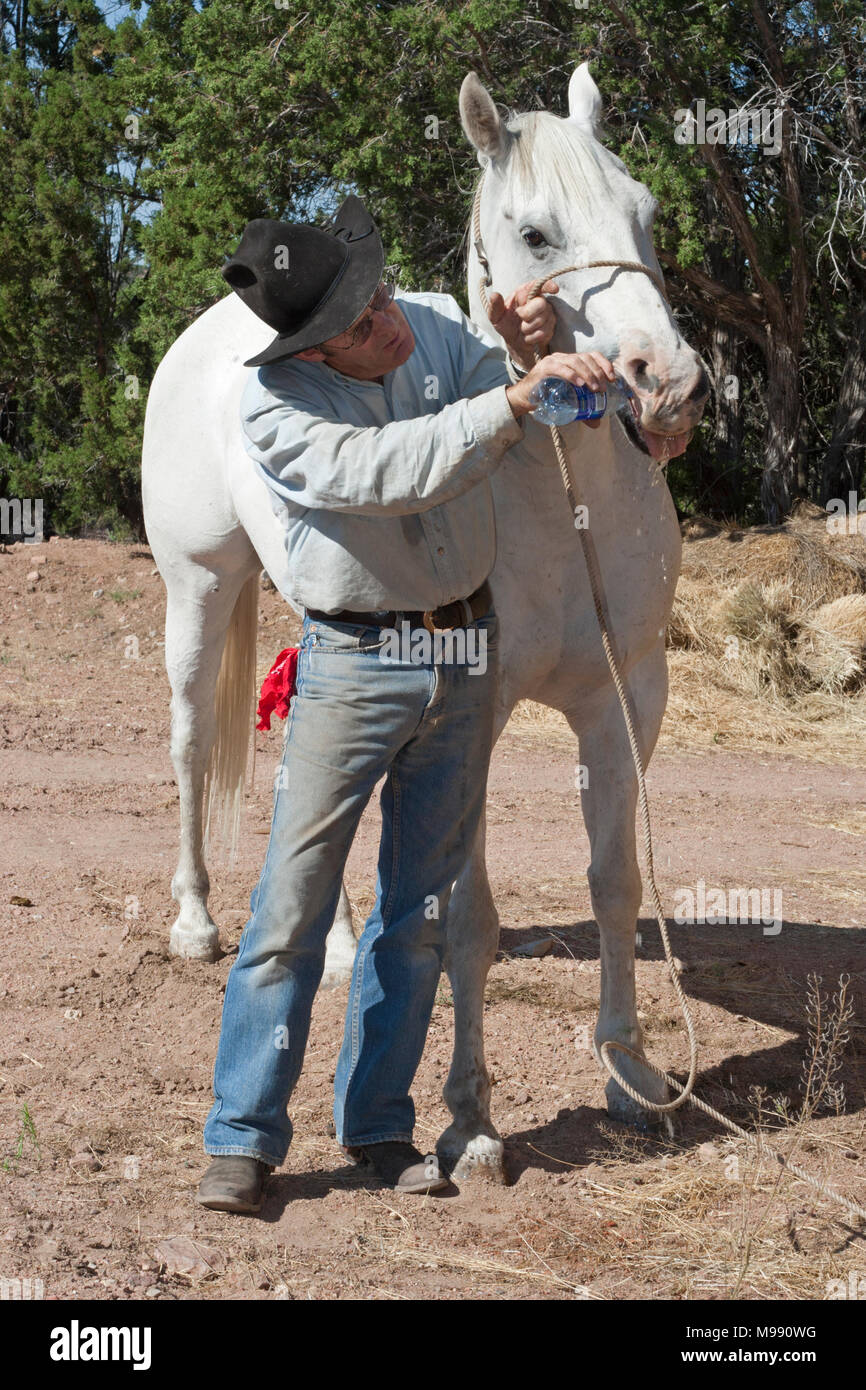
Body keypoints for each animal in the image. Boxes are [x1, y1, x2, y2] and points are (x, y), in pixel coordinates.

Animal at [142, 65, 708, 1184]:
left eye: (646, 215)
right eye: (533, 233)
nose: (666, 386)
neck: (558, 497)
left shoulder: (625, 701)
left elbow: (616, 883)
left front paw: (630, 1076)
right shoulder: (471, 718)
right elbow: (467, 920)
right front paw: (471, 1122)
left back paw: (327, 951)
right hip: (199, 590)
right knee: (190, 746)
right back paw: (194, 922)